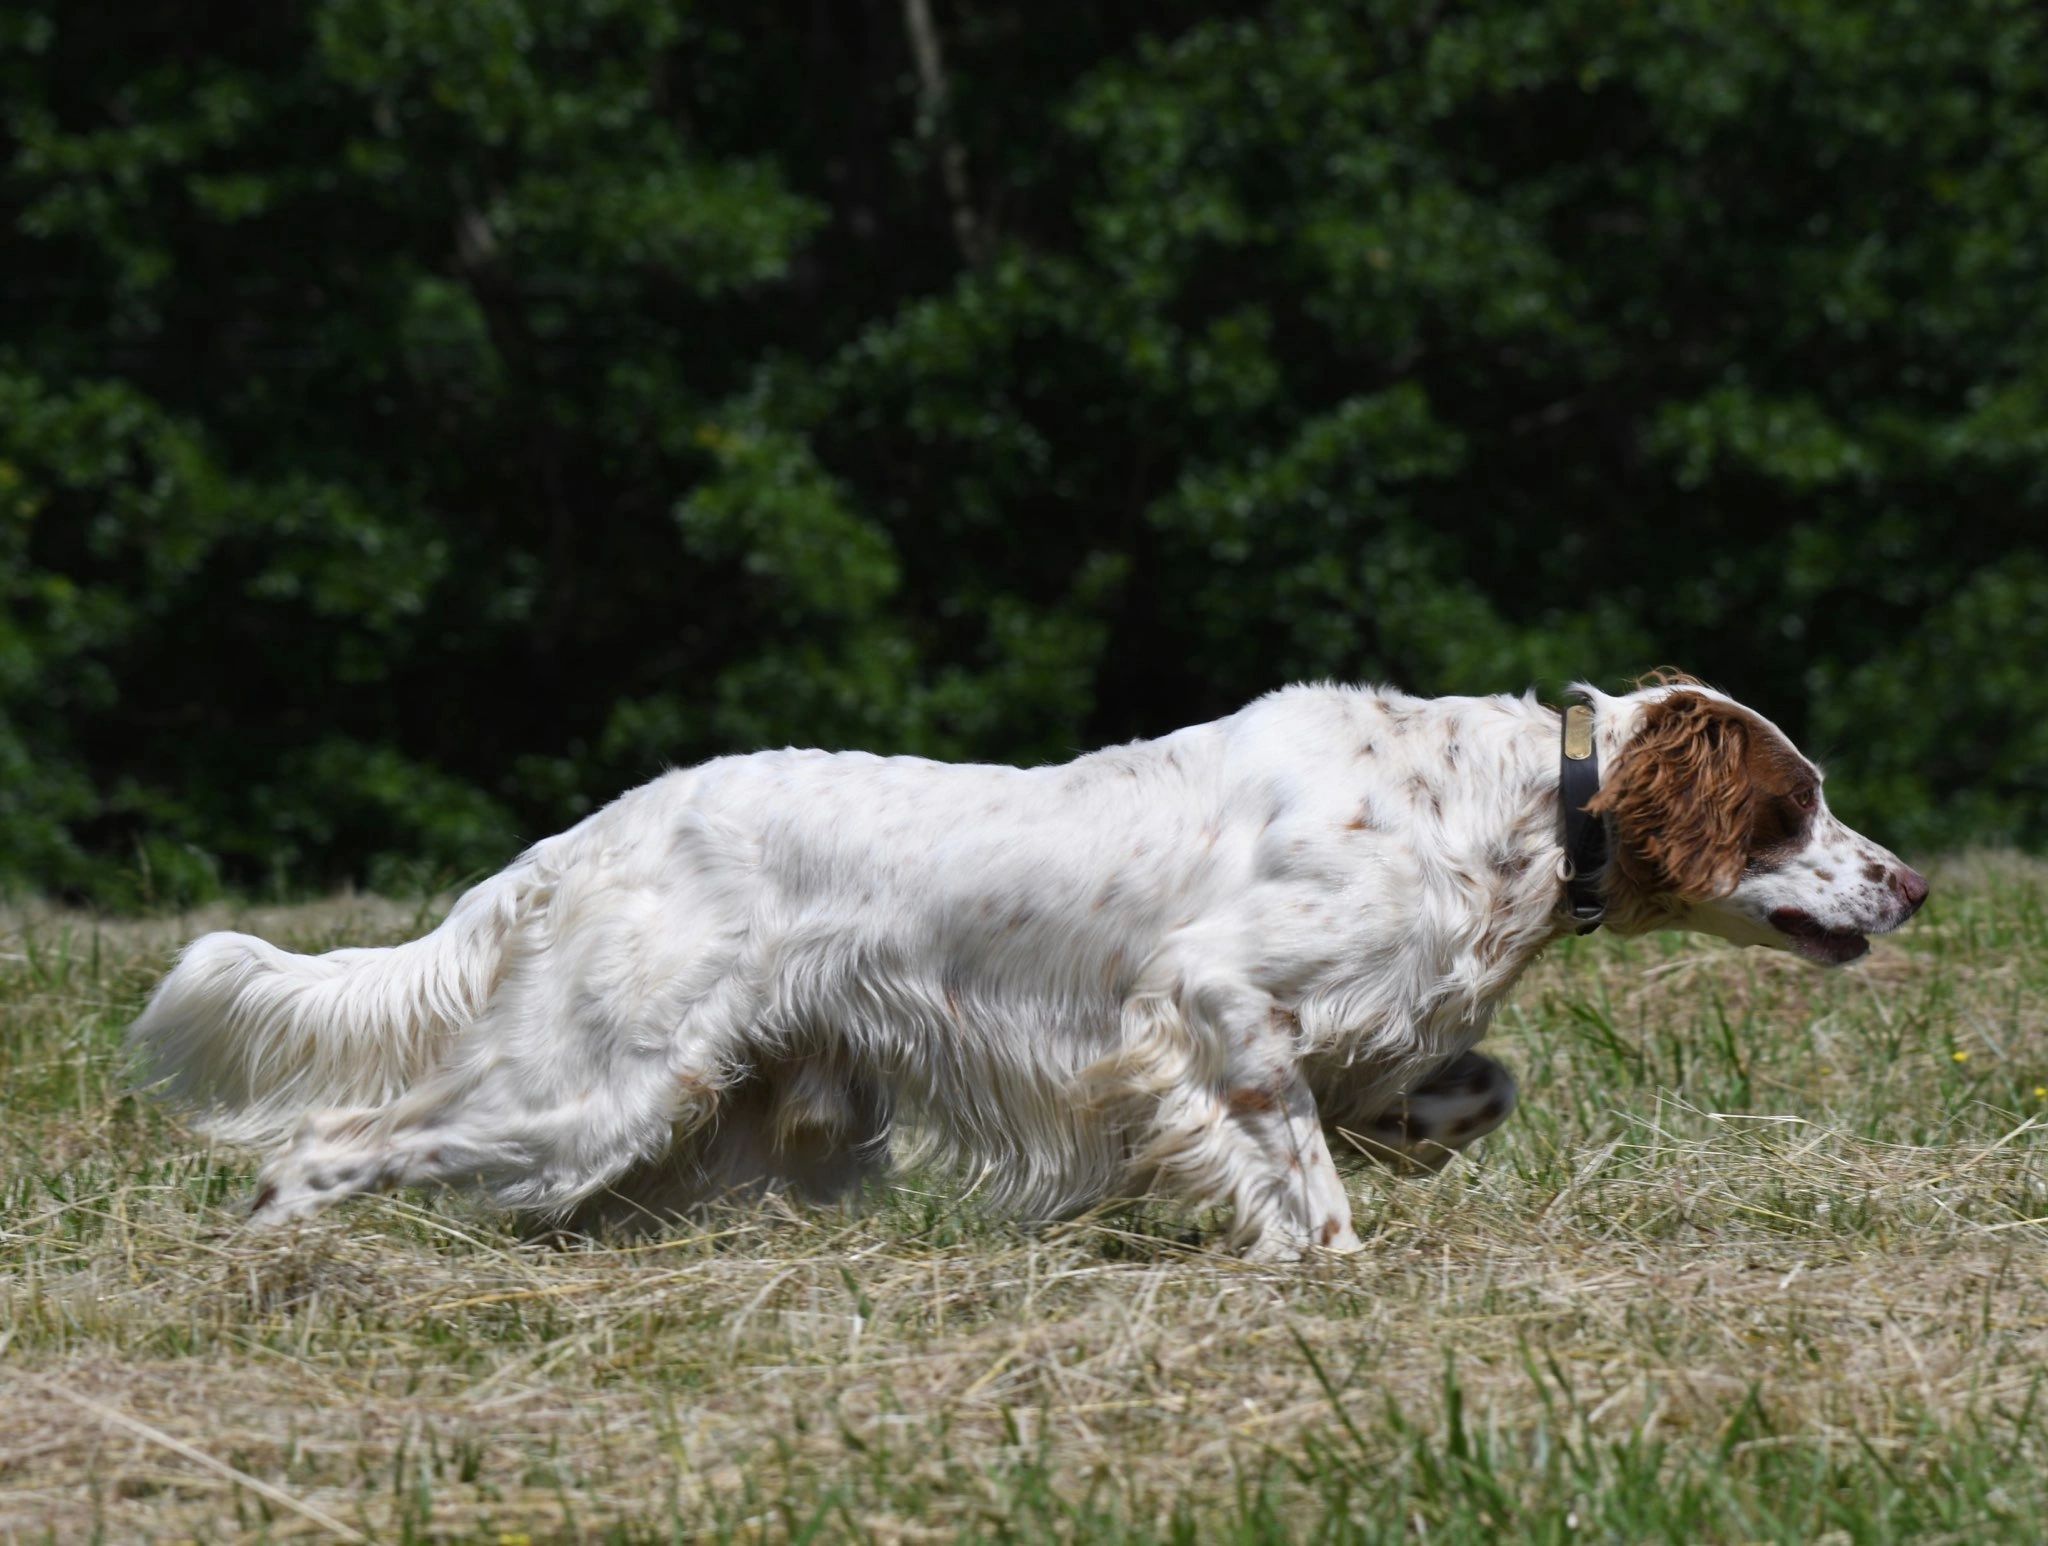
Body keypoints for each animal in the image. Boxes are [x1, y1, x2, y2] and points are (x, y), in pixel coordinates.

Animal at [136, 675, 1925, 1261]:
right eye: (1797, 803)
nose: (1909, 884)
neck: (1507, 810)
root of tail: (596, 828)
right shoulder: (1213, 996)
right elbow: (1295, 1155)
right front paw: (1331, 1265)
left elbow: (1461, 1082)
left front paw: (1410, 1128)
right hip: (587, 1087)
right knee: (337, 1140)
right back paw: (272, 1259)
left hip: (727, 1117)